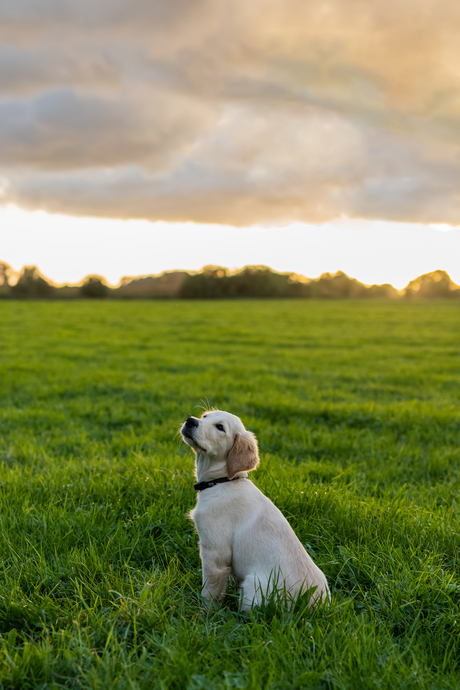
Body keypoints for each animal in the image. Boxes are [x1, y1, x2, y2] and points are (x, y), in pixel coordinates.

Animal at [181, 408, 330, 608]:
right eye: (205, 416)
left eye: (220, 427)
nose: (190, 421)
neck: (224, 481)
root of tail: (319, 607)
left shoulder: (215, 554)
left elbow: (210, 591)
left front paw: (203, 611)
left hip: (252, 586)